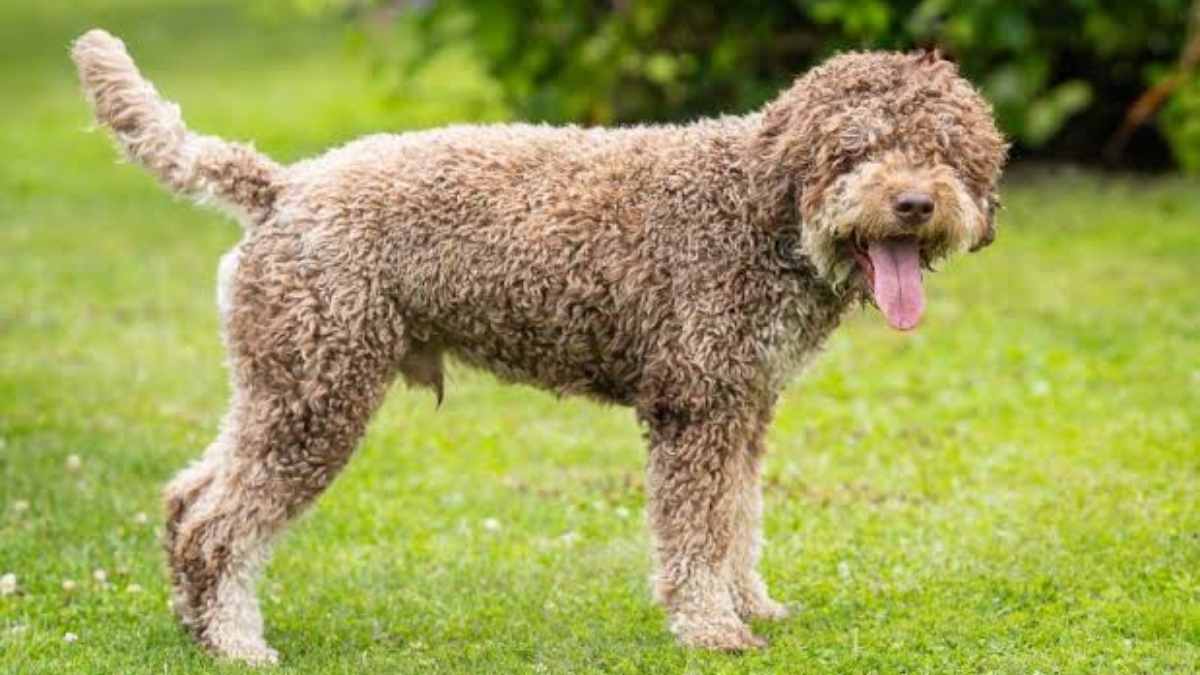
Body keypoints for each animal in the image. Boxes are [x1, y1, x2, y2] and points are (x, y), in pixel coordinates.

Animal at [72, 30, 1003, 662]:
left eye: (945, 150)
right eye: (857, 149)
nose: (916, 202)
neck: (757, 209)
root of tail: (284, 186)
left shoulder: (743, 405)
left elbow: (738, 518)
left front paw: (751, 604)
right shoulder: (695, 407)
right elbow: (697, 531)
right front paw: (710, 625)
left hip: (278, 382)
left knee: (188, 494)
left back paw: (196, 622)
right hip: (317, 393)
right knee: (222, 520)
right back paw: (236, 639)